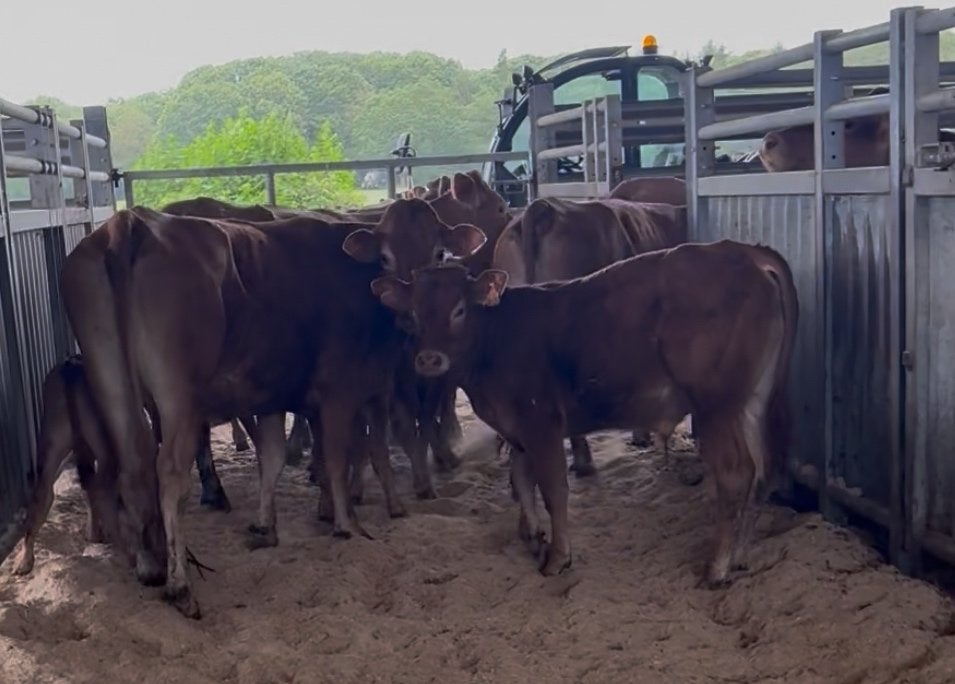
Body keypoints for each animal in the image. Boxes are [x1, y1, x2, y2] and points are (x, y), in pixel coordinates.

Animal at [60, 198, 487, 618]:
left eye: (439, 252)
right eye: (385, 257)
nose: (410, 310)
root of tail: (130, 224)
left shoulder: (271, 394)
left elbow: (275, 456)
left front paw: (269, 526)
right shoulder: (339, 390)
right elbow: (337, 456)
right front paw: (346, 523)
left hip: (112, 383)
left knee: (131, 468)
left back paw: (149, 566)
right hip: (178, 395)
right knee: (169, 474)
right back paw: (180, 584)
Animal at [370, 240, 797, 587]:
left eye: (459, 309)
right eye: (413, 312)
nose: (428, 359)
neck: (498, 337)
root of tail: (749, 253)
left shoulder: (541, 424)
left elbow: (554, 490)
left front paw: (558, 557)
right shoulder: (517, 430)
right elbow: (521, 481)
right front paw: (532, 536)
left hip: (716, 406)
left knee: (735, 474)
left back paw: (716, 568)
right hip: (752, 403)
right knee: (764, 470)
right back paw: (739, 556)